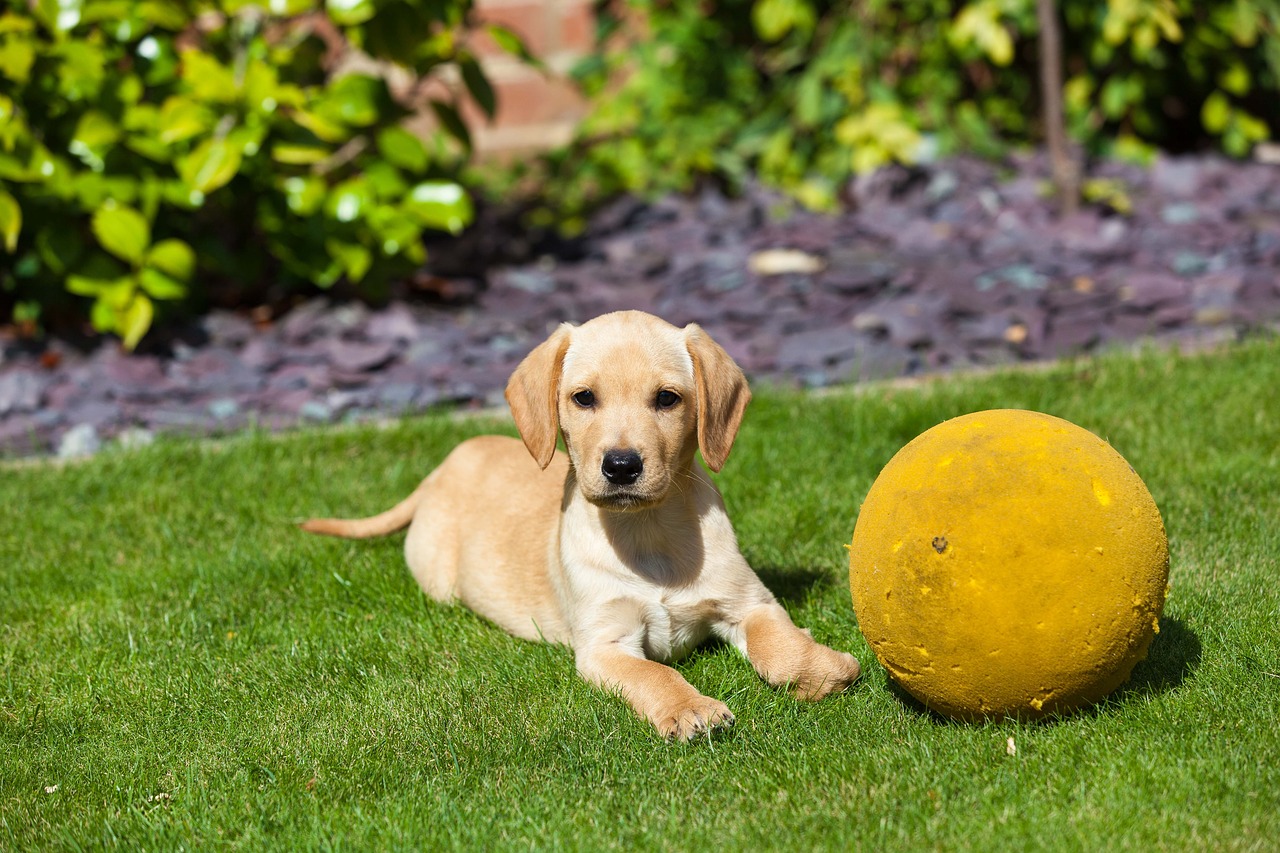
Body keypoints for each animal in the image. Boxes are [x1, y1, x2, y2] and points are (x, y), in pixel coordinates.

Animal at [300, 308, 860, 732]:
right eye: (584, 397)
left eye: (667, 398)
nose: (622, 466)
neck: (647, 533)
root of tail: (440, 470)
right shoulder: (604, 645)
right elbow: (654, 677)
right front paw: (689, 709)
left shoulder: (750, 602)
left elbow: (778, 644)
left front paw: (824, 669)